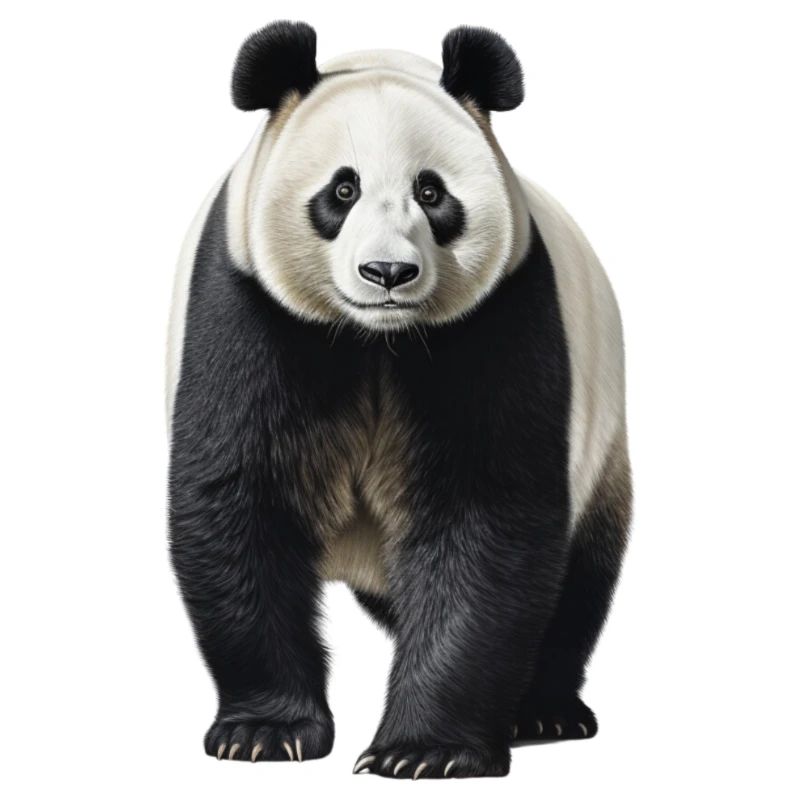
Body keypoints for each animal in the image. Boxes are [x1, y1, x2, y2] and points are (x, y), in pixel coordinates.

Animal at [167, 20, 632, 780]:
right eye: (342, 189)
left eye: (432, 192)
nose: (388, 272)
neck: (375, 339)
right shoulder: (247, 307)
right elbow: (241, 496)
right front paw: (266, 733)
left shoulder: (498, 317)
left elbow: (483, 515)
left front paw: (425, 751)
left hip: (602, 437)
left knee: (578, 579)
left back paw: (543, 710)